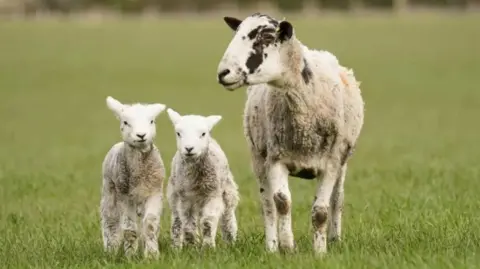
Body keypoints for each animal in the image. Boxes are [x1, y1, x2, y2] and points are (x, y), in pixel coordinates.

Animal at [99, 96, 167, 258]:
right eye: (125, 122)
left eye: (151, 121)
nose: (141, 135)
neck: (140, 173)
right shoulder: (125, 196)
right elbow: (129, 229)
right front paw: (130, 255)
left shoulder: (155, 192)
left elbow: (150, 225)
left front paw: (152, 255)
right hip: (109, 189)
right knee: (110, 219)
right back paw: (110, 249)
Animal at [166, 108, 239, 248]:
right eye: (178, 133)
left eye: (203, 133)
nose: (189, 148)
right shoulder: (185, 197)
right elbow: (188, 224)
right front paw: (190, 246)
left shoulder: (213, 194)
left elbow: (207, 222)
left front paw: (208, 247)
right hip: (174, 194)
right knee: (177, 221)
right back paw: (176, 246)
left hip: (228, 192)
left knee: (228, 217)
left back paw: (230, 242)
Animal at [215, 12, 364, 254]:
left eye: (265, 38)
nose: (223, 73)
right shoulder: (277, 158)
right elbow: (281, 202)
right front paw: (286, 246)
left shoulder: (331, 163)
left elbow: (321, 211)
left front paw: (320, 252)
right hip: (259, 157)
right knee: (267, 205)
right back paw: (271, 246)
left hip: (342, 162)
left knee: (337, 198)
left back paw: (335, 239)